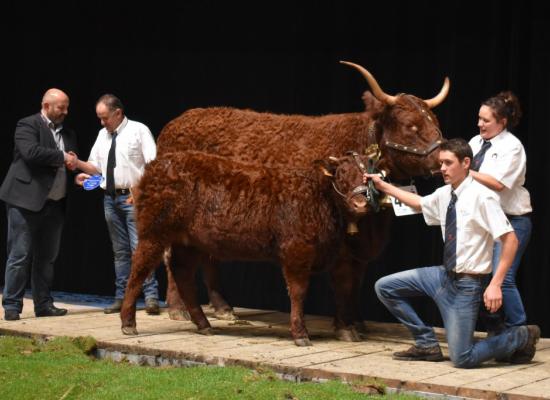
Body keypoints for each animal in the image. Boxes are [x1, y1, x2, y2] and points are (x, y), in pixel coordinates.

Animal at [121, 152, 380, 346]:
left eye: (367, 176)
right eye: (342, 174)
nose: (361, 203)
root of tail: (158, 163)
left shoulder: (335, 254)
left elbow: (344, 288)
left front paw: (347, 330)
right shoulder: (296, 251)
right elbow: (298, 292)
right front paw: (300, 334)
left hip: (188, 241)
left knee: (182, 273)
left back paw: (204, 324)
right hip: (154, 231)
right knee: (138, 269)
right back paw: (128, 323)